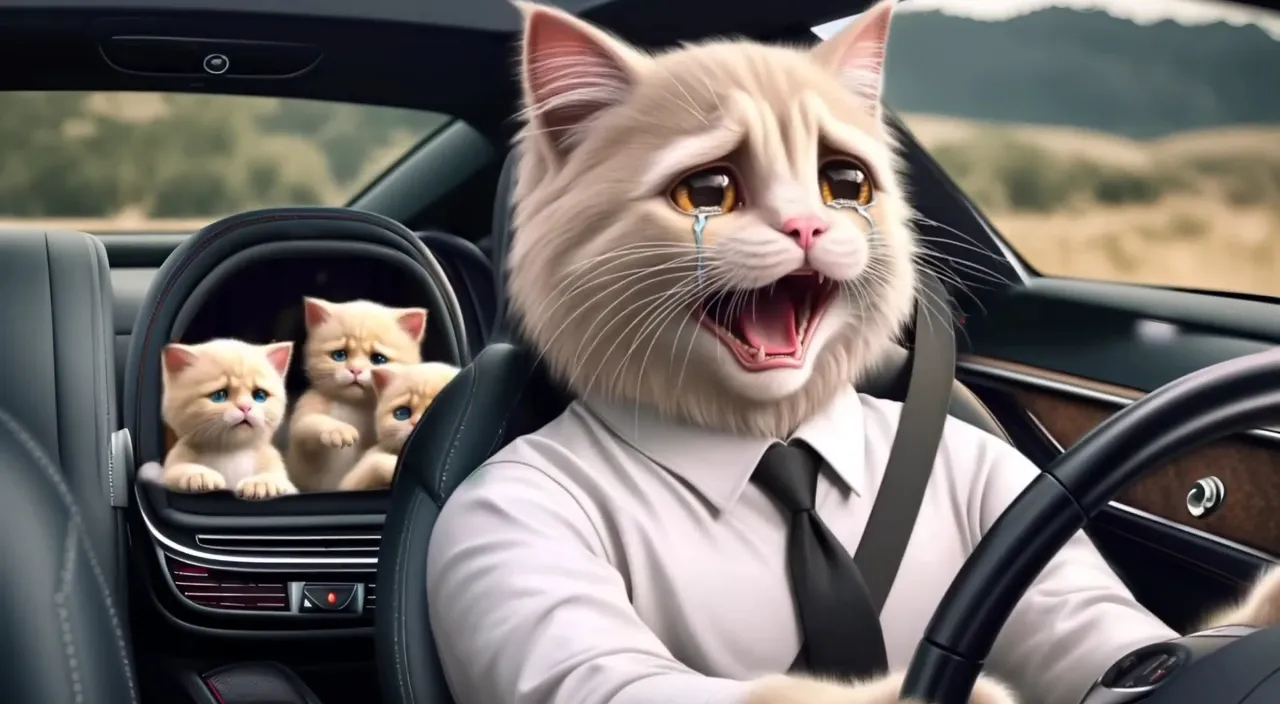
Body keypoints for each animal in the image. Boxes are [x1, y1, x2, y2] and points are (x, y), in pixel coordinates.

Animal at [282, 300, 427, 494]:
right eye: (339, 355)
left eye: (378, 359)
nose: (355, 370)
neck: (356, 405)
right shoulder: (304, 435)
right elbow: (307, 423)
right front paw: (338, 430)